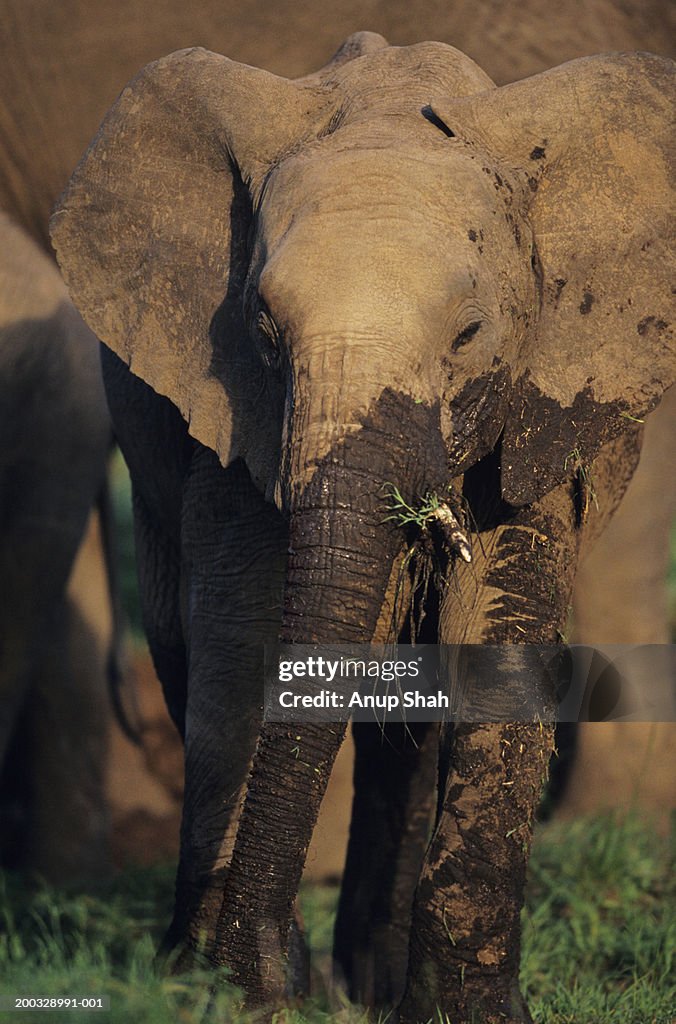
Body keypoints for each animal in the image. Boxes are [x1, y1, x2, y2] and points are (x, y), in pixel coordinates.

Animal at [51, 36, 671, 1019]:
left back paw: (372, 984)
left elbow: (491, 640)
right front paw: (229, 992)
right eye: (263, 327)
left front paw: (468, 1013)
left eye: (468, 335)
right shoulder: (237, 413)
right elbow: (241, 641)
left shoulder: (539, 404)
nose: (254, 960)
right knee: (182, 646)